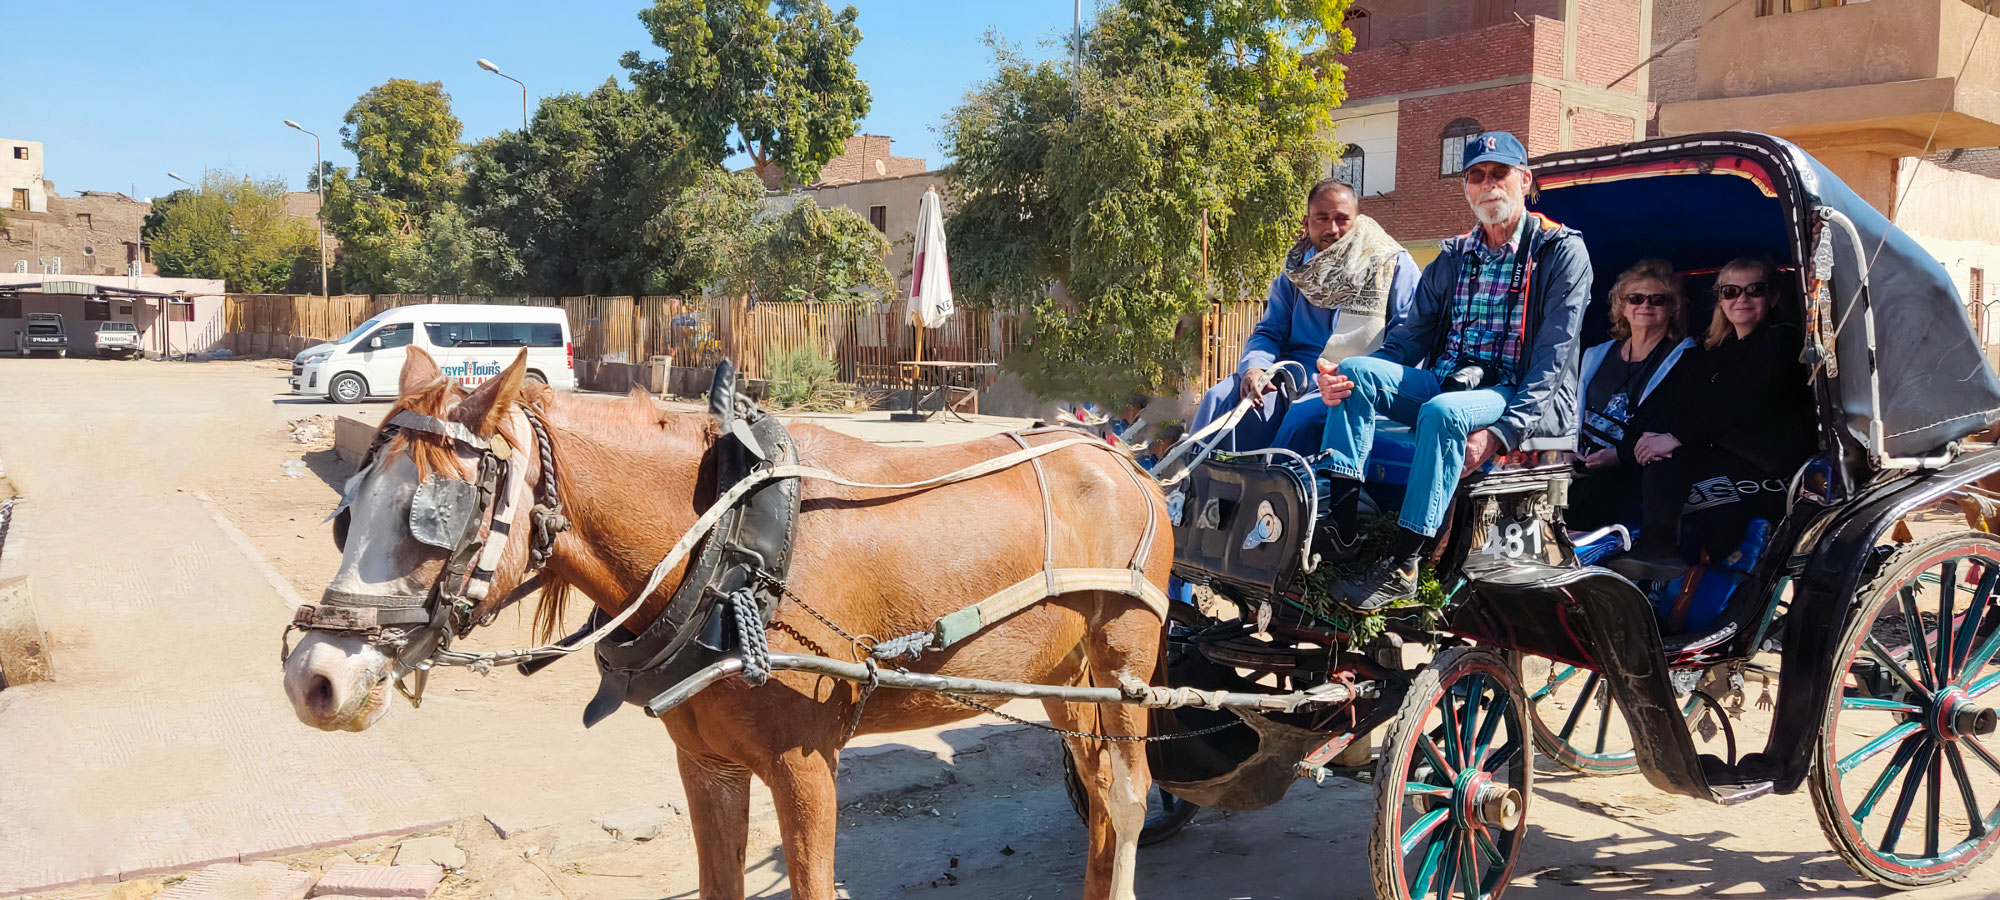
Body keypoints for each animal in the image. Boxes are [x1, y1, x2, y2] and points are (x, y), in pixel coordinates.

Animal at [280, 348, 1173, 900]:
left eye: (438, 515)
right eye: (346, 512)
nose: (314, 677)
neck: (726, 547)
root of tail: (1124, 460)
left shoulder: (806, 766)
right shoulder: (707, 763)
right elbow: (721, 882)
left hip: (1124, 665)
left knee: (1128, 798)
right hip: (1061, 678)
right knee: (1097, 795)